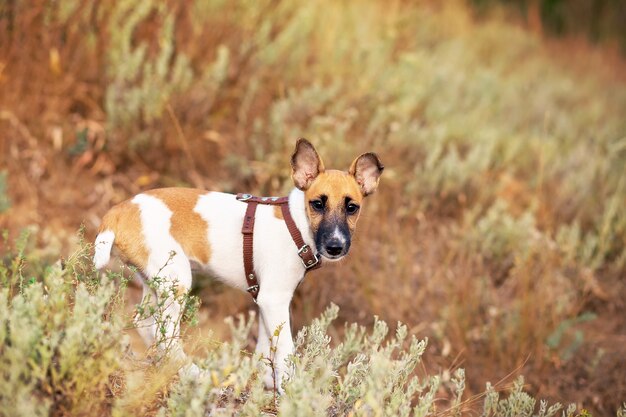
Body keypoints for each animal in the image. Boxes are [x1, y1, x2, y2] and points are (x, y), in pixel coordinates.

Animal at [94, 139, 380, 386]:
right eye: (318, 204)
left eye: (352, 208)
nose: (335, 247)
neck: (296, 226)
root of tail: (117, 212)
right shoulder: (273, 300)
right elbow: (285, 351)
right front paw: (290, 390)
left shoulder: (268, 302)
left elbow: (267, 349)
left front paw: (267, 386)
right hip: (177, 281)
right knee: (166, 336)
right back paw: (192, 372)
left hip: (156, 280)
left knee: (145, 322)